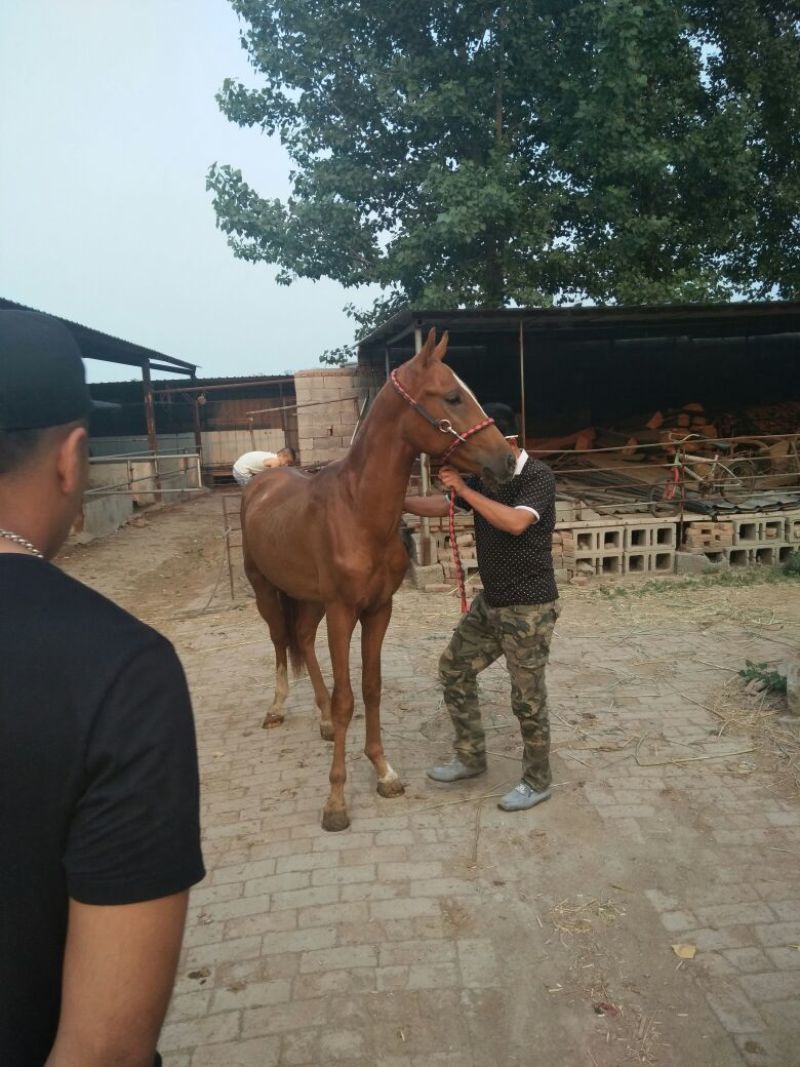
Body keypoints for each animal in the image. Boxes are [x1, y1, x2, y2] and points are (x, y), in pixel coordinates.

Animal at [241, 328, 516, 831]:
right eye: (452, 396)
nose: (506, 460)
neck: (357, 511)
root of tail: (260, 482)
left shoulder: (377, 610)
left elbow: (370, 688)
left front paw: (384, 772)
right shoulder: (342, 612)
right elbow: (347, 697)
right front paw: (335, 802)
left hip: (309, 600)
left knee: (302, 640)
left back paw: (322, 721)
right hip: (267, 591)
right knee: (280, 644)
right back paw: (277, 708)